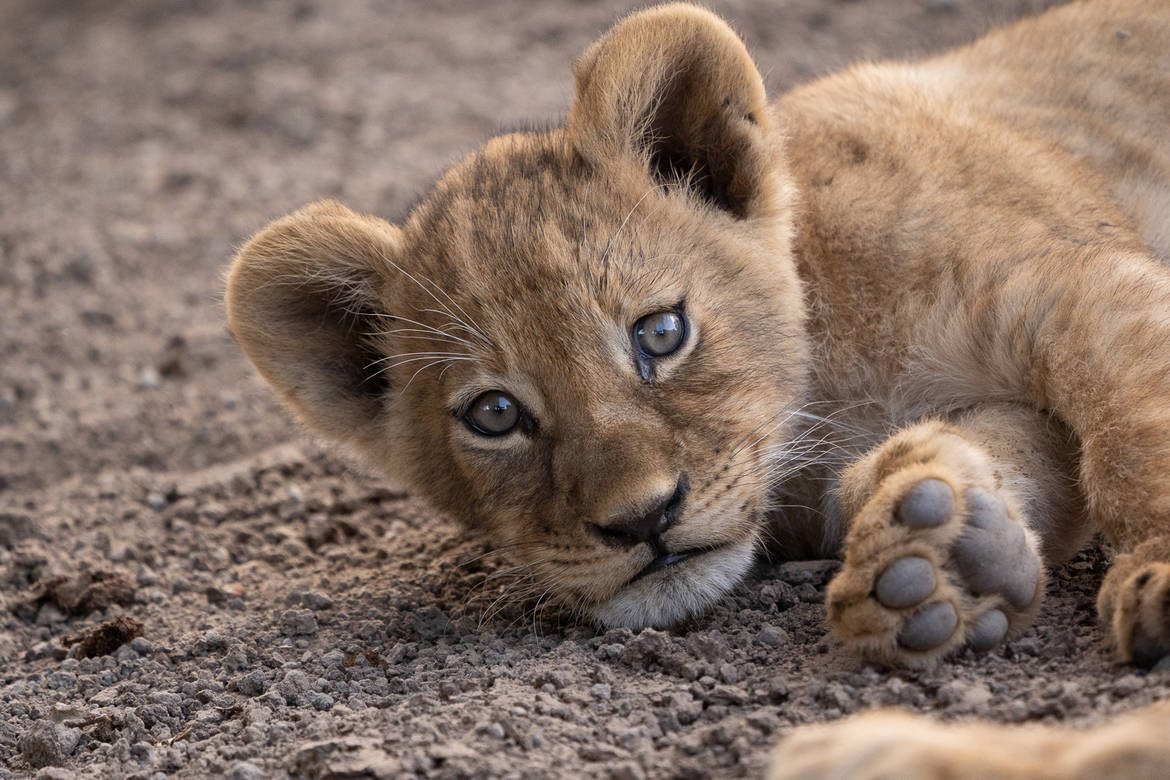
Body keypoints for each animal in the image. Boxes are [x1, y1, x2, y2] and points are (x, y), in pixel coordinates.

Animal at [225, 0, 1170, 775]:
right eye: (494, 415)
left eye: (661, 334)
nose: (644, 520)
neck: (831, 378)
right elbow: (1024, 450)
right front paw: (939, 557)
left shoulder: (1073, 286)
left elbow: (1132, 430)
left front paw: (1154, 576)